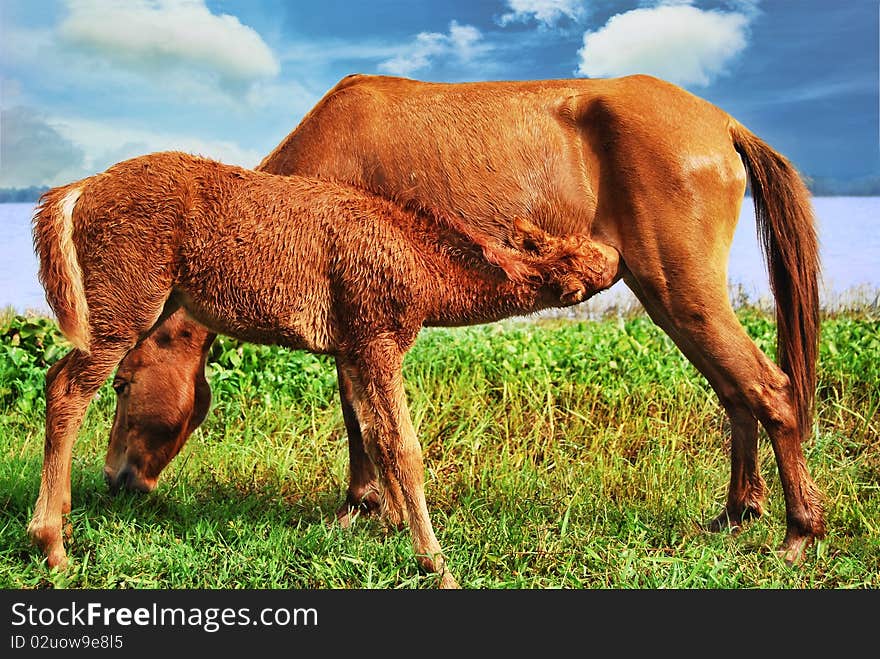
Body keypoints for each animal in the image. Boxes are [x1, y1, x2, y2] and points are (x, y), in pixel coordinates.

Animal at [29, 151, 620, 588]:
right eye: (579, 264)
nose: (614, 257)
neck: (425, 272)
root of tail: (74, 193)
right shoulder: (379, 340)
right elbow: (403, 444)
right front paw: (436, 561)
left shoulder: (354, 348)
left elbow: (372, 436)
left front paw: (391, 523)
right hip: (123, 308)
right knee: (66, 388)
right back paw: (51, 543)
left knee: (56, 379)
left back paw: (66, 521)